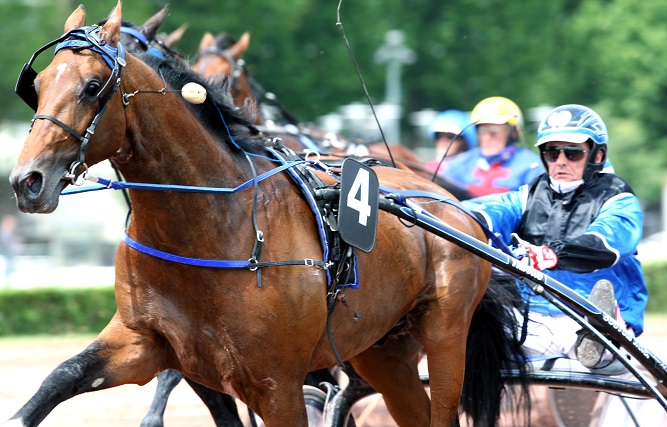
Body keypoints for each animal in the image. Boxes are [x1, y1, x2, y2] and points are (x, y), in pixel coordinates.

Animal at [6, 1, 528, 426]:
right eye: (38, 85)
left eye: (93, 86)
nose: (26, 181)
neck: (210, 224)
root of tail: (452, 206)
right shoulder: (144, 343)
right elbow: (63, 377)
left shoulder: (277, 384)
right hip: (383, 348)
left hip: (444, 335)